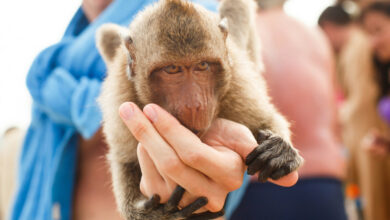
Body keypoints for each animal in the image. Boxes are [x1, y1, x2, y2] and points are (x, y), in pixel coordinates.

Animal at [96, 0, 304, 219]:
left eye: (203, 65)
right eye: (172, 69)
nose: (194, 104)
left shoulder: (236, 86)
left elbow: (266, 120)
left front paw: (279, 149)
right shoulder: (121, 96)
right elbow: (124, 160)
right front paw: (148, 213)